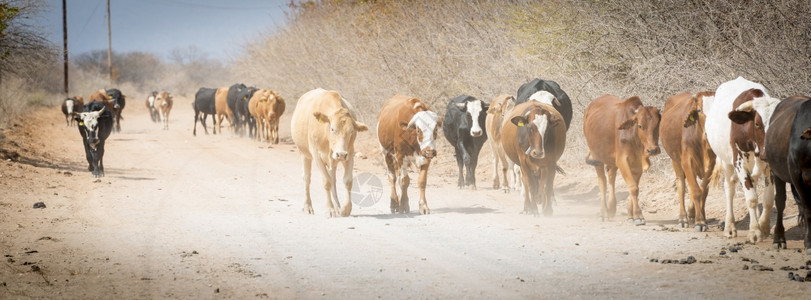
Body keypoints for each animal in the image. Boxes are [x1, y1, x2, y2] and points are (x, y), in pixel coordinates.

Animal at [292, 88, 368, 217]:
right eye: (332, 129)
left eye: (351, 131)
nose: (341, 154)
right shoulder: (316, 155)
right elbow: (326, 182)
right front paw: (330, 209)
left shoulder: (349, 154)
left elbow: (347, 181)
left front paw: (345, 209)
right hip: (304, 154)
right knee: (307, 178)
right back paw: (308, 206)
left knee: (333, 179)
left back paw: (337, 207)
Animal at [588, 95, 664, 224]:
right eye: (640, 126)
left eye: (658, 125)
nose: (653, 150)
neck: (633, 136)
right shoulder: (622, 161)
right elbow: (633, 187)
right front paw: (638, 216)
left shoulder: (637, 163)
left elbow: (634, 187)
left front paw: (631, 215)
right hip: (596, 157)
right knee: (602, 183)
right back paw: (603, 212)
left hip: (611, 161)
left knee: (611, 178)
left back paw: (611, 208)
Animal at [660, 90, 716, 231]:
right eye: (699, 110)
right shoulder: (687, 162)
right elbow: (696, 191)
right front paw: (700, 222)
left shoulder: (711, 164)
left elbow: (703, 190)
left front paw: (699, 216)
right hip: (675, 159)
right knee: (681, 185)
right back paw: (683, 218)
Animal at [708, 76, 784, 243]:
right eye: (757, 123)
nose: (767, 152)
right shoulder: (739, 163)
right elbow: (751, 199)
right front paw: (754, 231)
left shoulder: (769, 166)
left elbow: (768, 199)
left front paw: (763, 227)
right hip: (726, 162)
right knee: (729, 189)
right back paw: (730, 227)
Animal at [768, 94, 811, 253]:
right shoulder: (798, 177)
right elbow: (808, 209)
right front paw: (809, 243)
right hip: (777, 173)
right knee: (780, 202)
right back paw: (779, 239)